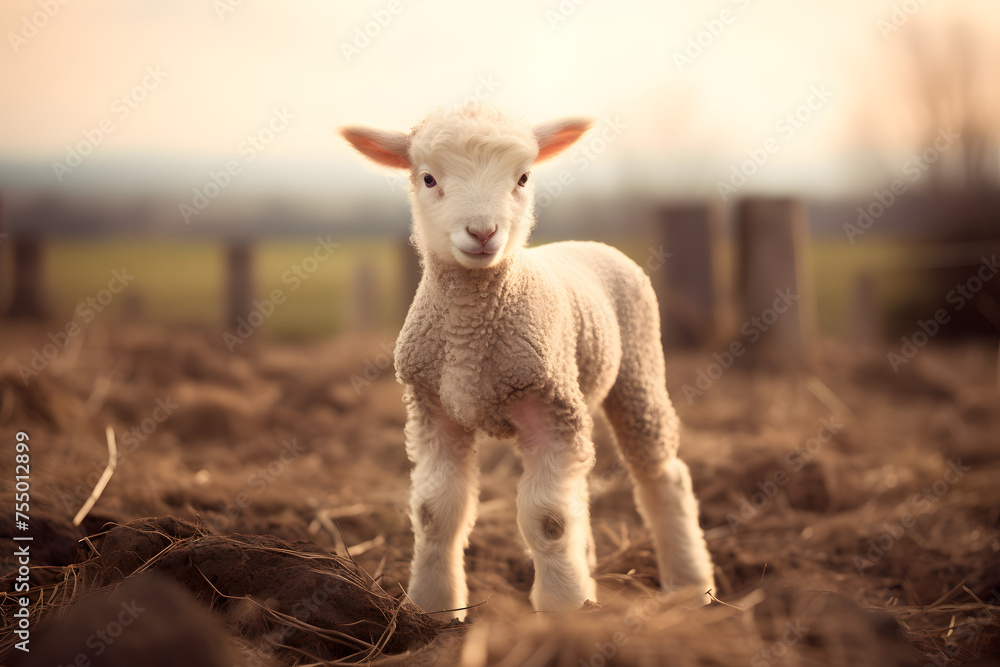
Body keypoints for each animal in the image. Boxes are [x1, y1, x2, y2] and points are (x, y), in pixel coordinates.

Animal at [340, 104, 715, 619]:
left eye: (522, 177)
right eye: (429, 178)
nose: (482, 232)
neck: (469, 340)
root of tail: (586, 243)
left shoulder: (546, 407)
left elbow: (548, 520)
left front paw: (562, 612)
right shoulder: (434, 409)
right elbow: (436, 513)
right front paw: (434, 609)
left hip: (636, 369)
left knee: (663, 475)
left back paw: (691, 586)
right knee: (582, 490)